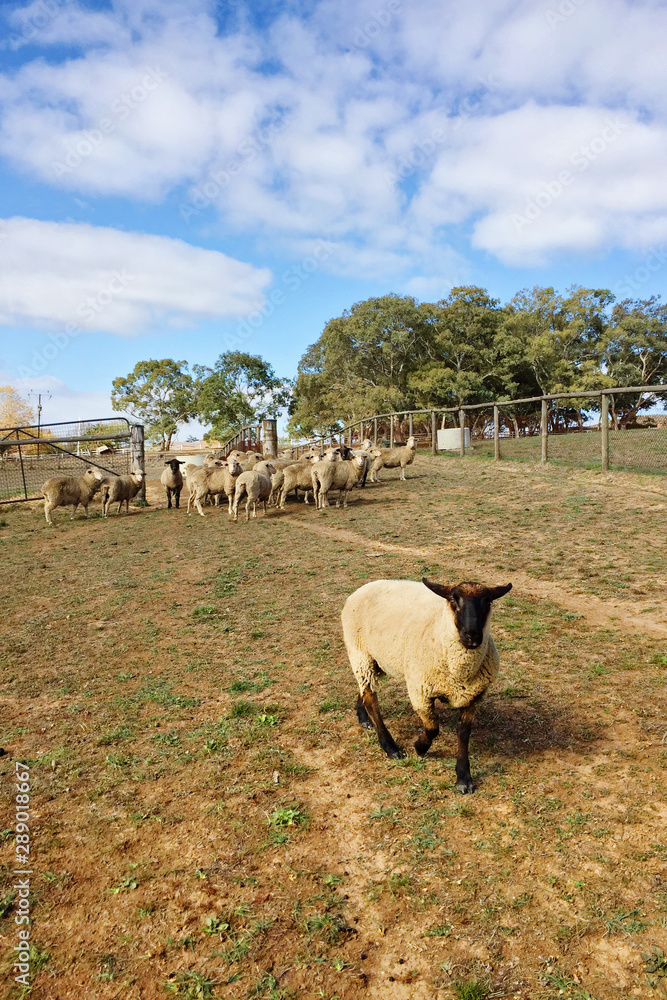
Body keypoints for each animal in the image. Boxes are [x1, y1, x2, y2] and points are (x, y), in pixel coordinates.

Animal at [341, 577, 512, 793]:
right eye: (453, 600)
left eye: (488, 601)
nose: (472, 635)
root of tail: (362, 588)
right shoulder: (420, 692)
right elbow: (432, 728)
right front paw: (419, 747)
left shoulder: (473, 697)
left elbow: (464, 734)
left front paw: (463, 777)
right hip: (360, 653)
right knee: (371, 699)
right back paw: (390, 747)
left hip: (376, 660)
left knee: (364, 689)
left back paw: (363, 717)